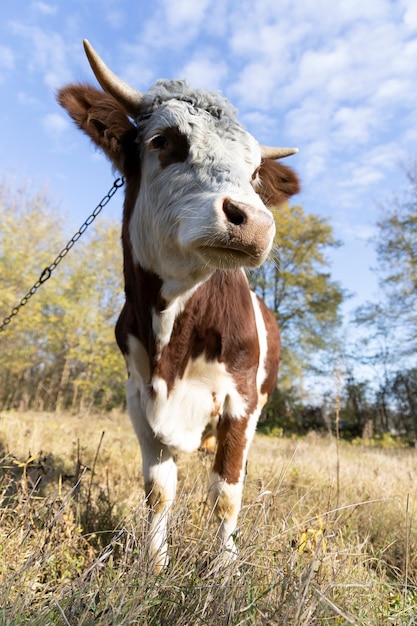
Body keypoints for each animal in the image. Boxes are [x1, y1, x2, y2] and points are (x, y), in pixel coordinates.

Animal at [58, 40, 300, 572]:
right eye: (163, 140)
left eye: (255, 172)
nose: (254, 222)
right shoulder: (139, 396)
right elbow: (158, 491)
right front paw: (154, 564)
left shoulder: (240, 400)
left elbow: (226, 492)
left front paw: (225, 569)